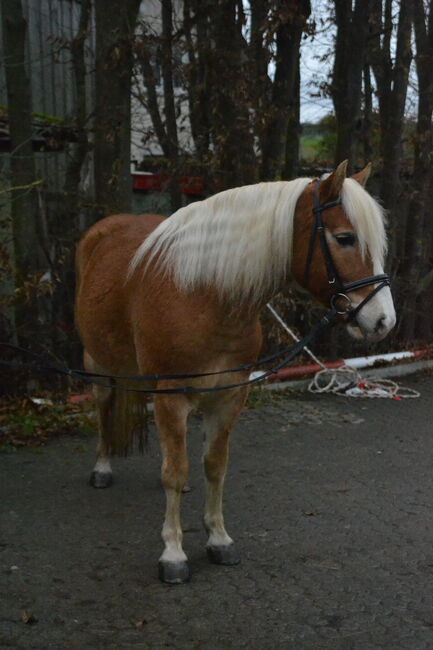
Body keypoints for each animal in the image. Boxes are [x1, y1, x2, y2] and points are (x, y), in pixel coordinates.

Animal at [75, 161, 394, 584]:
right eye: (344, 238)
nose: (383, 321)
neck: (202, 296)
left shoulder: (229, 396)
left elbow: (214, 466)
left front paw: (218, 539)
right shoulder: (173, 396)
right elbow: (175, 471)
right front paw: (173, 553)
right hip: (98, 363)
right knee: (104, 404)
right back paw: (102, 466)